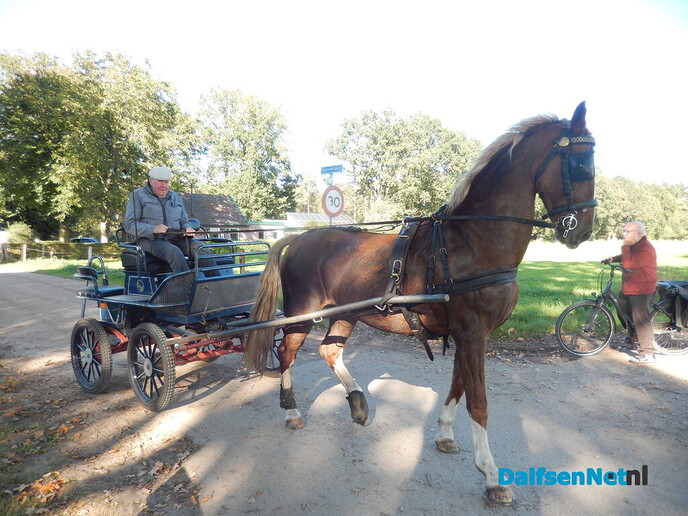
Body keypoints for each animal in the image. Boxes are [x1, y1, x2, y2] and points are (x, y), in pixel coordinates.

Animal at [243, 102, 596, 503]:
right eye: (580, 162)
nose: (583, 230)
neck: (470, 241)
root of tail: (299, 238)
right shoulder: (473, 332)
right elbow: (478, 400)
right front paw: (491, 474)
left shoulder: (468, 334)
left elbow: (458, 385)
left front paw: (444, 433)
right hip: (303, 313)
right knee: (285, 353)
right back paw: (291, 411)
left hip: (346, 314)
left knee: (329, 352)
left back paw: (357, 401)